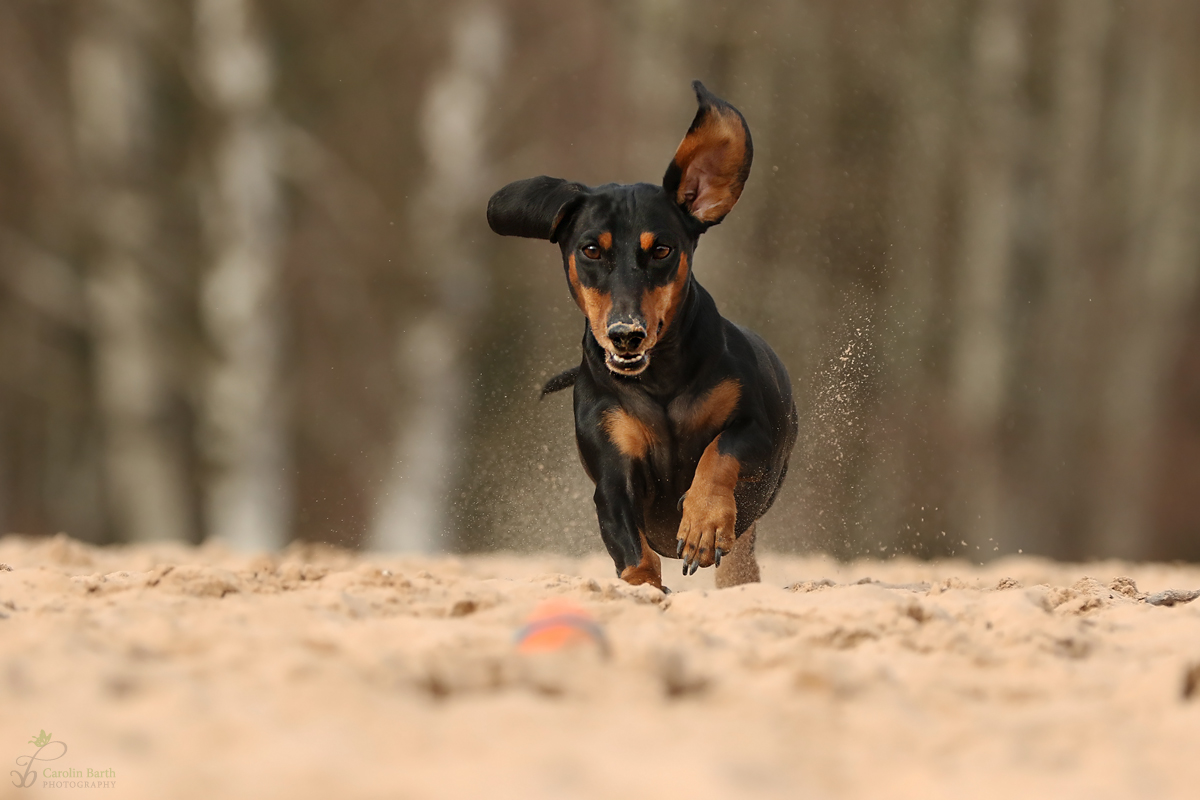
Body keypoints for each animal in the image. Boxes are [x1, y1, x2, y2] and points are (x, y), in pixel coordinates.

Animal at [487, 84, 796, 592]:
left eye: (663, 250)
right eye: (592, 250)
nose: (626, 335)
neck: (660, 382)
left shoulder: (757, 430)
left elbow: (721, 451)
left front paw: (703, 524)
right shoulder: (613, 469)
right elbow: (632, 551)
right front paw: (646, 588)